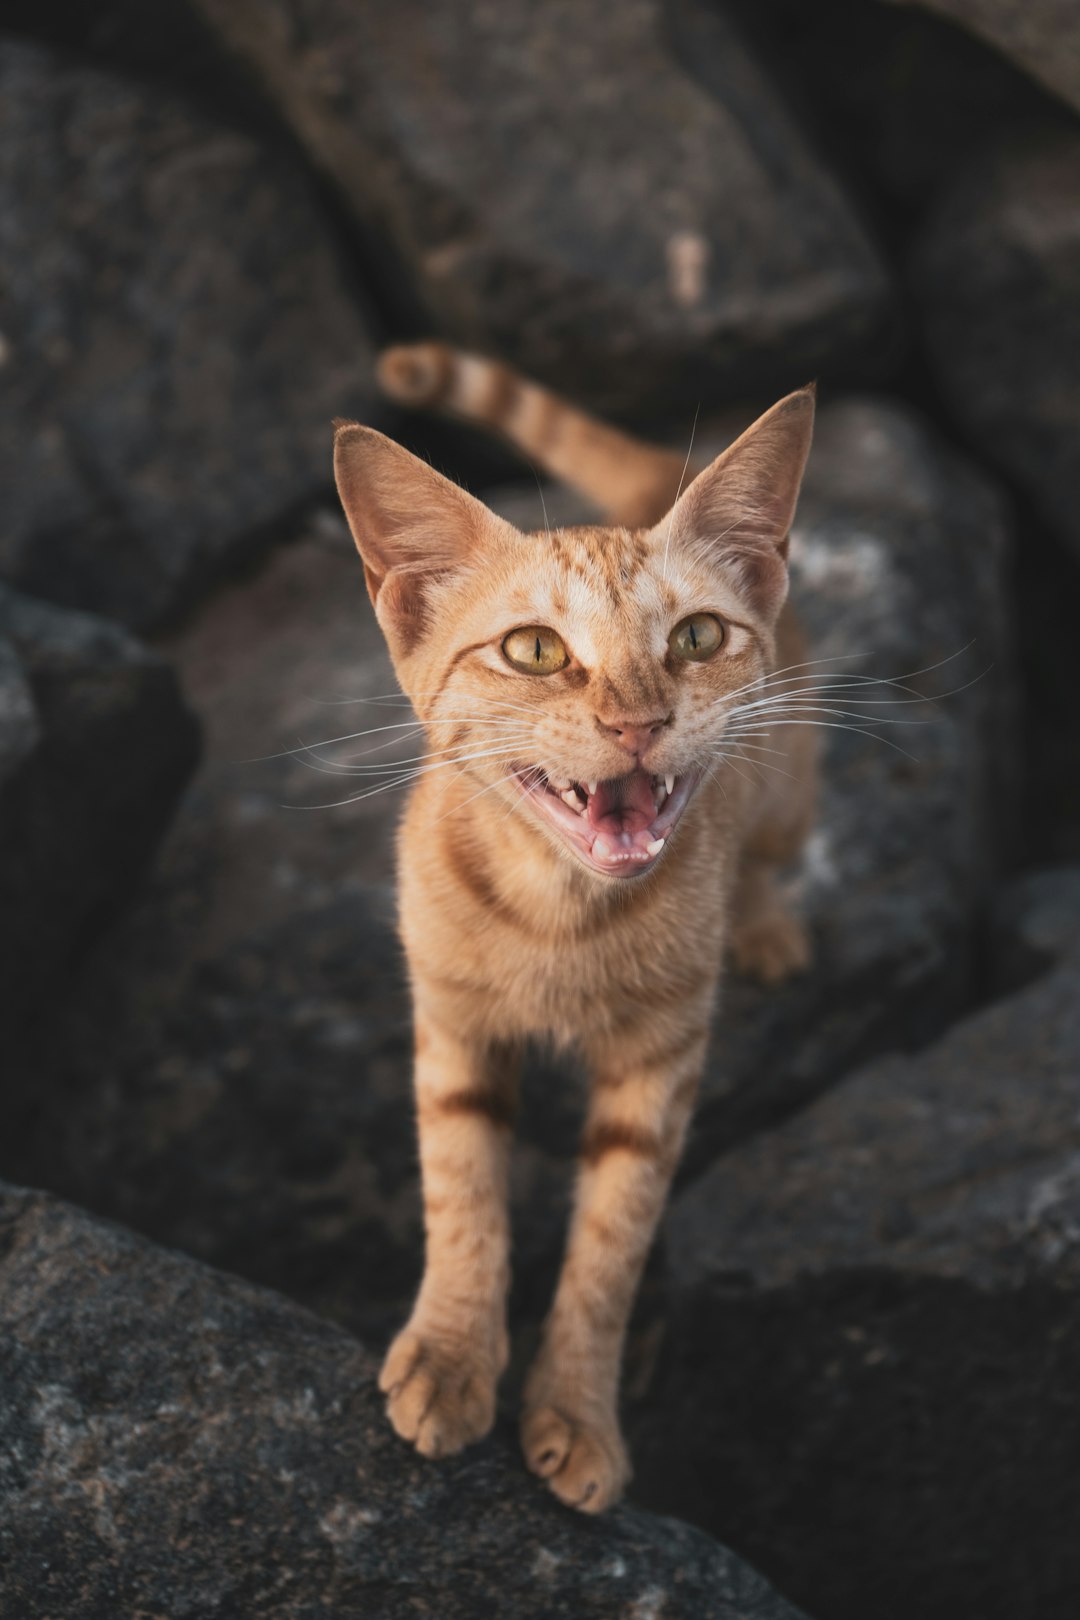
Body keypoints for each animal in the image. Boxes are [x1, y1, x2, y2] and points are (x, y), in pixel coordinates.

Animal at [333, 348, 816, 1509]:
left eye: (695, 638)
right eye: (534, 650)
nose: (637, 722)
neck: (563, 917)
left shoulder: (660, 1070)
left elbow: (610, 1246)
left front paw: (578, 1413)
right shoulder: (452, 1026)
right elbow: (462, 1190)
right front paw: (453, 1356)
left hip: (791, 787)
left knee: (769, 857)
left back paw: (766, 927)